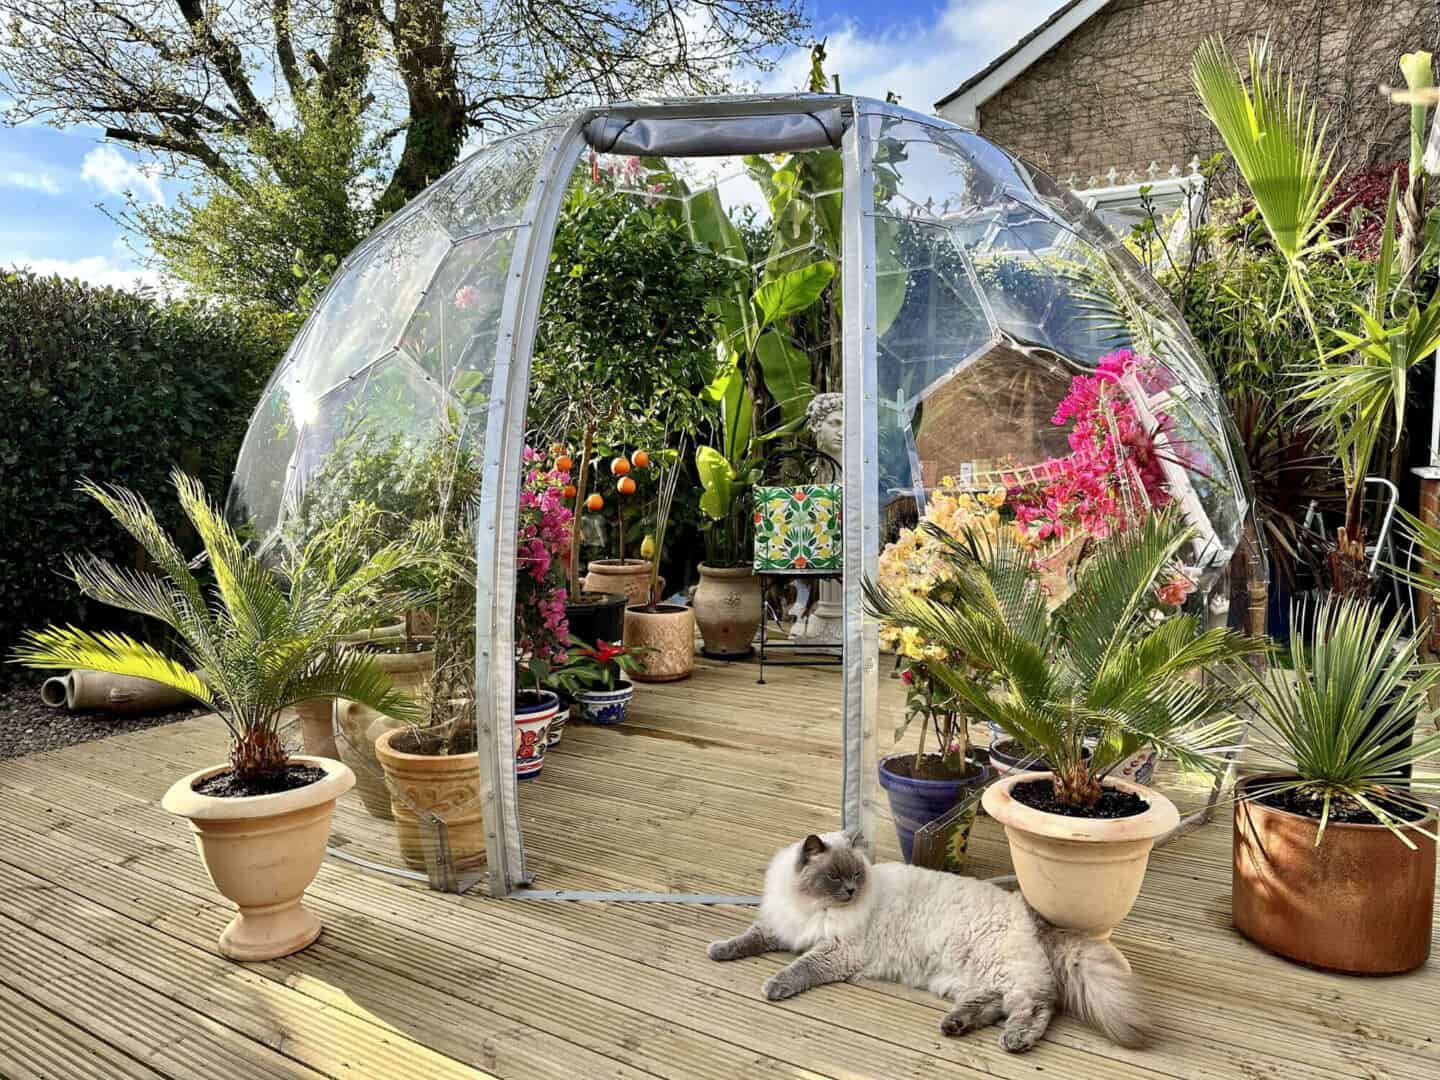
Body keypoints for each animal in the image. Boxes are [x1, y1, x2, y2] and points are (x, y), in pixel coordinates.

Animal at [714, 835, 1152, 1054]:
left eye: (854, 876)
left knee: (1036, 1006)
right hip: (964, 978)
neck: (813, 907)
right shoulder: (781, 926)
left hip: (1001, 972)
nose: (852, 891)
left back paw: (1015, 1042)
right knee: (992, 1005)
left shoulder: (835, 951)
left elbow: (797, 968)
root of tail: (1031, 914)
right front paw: (719, 951)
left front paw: (774, 986)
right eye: (836, 877)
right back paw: (954, 1025)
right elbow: (748, 938)